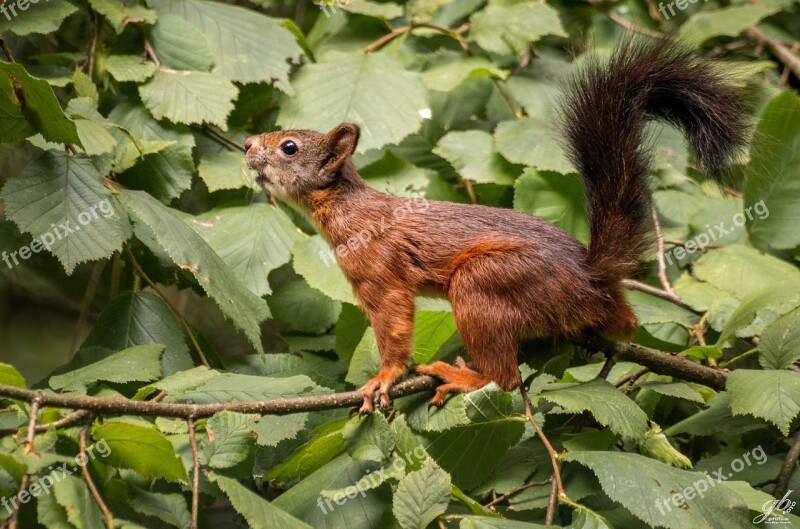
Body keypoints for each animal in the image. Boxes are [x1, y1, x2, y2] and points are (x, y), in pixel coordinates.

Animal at [245, 41, 752, 412]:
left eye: (289, 147)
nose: (248, 144)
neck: (343, 207)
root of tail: (591, 277)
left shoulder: (379, 271)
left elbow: (393, 322)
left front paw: (385, 377)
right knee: (622, 326)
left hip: (485, 283)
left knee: (505, 379)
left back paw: (465, 376)